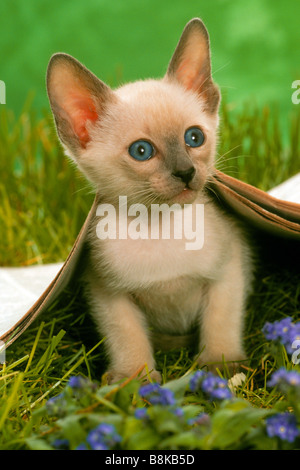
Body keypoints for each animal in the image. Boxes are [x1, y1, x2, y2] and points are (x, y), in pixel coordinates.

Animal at [47, 18, 253, 384]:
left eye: (194, 137)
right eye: (141, 151)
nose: (186, 172)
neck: (159, 227)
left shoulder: (229, 271)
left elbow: (222, 322)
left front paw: (222, 364)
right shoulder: (108, 294)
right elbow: (127, 338)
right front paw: (134, 380)